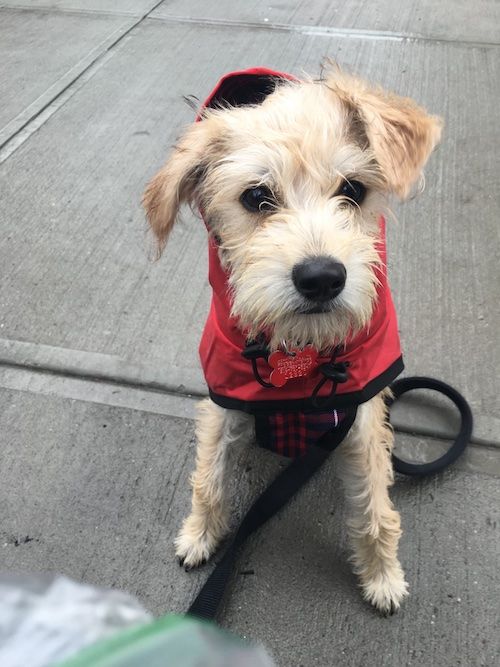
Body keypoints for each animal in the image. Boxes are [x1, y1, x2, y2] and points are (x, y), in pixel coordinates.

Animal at [142, 65, 442, 612]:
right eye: (255, 197)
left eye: (353, 189)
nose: (322, 278)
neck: (299, 352)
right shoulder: (225, 399)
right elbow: (209, 477)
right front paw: (199, 534)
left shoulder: (361, 414)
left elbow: (375, 506)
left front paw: (383, 575)